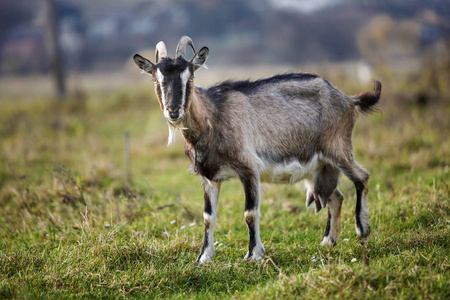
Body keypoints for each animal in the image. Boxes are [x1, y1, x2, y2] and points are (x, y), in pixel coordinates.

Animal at [132, 36, 382, 264]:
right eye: (156, 80)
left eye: (190, 77)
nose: (173, 111)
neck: (213, 116)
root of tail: (349, 100)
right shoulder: (209, 177)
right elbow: (207, 217)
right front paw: (204, 257)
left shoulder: (249, 168)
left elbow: (250, 214)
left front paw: (253, 255)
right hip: (319, 166)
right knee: (336, 197)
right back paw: (328, 241)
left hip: (338, 148)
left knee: (362, 177)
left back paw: (362, 229)